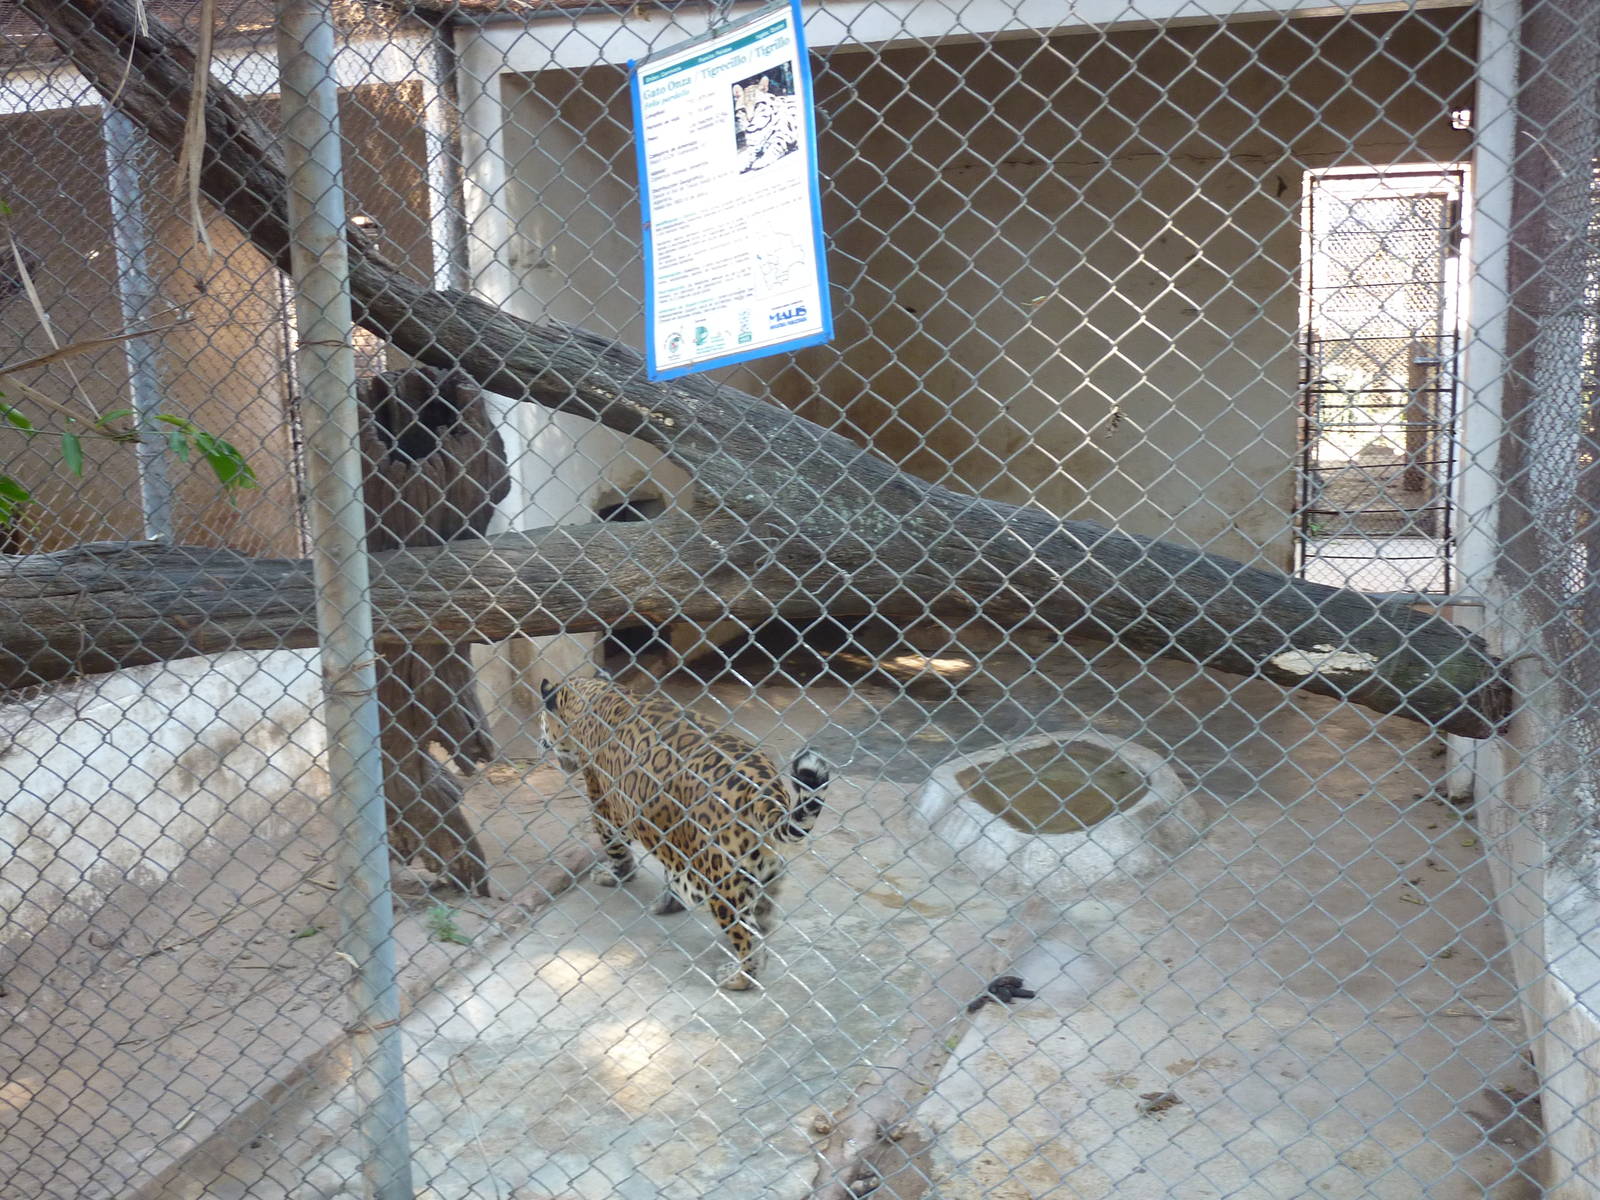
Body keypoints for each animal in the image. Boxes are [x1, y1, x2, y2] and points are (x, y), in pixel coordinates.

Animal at [539, 675, 831, 991]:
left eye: (542, 719)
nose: (541, 740)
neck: (591, 695)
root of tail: (763, 790)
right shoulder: (673, 835)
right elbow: (672, 871)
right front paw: (668, 902)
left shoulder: (603, 800)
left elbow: (615, 845)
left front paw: (614, 874)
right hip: (767, 866)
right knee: (763, 917)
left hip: (721, 880)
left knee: (747, 934)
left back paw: (738, 977)